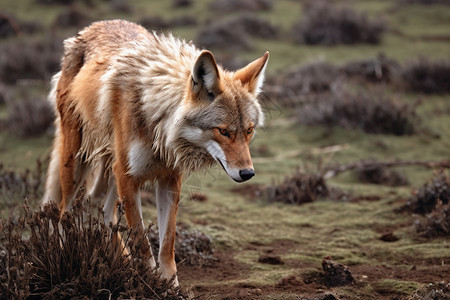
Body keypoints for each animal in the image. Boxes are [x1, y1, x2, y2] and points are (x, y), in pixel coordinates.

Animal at [41, 19, 268, 286]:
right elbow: (141, 240)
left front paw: (170, 286)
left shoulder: (169, 179)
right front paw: (150, 284)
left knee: (103, 210)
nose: (248, 173)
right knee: (64, 212)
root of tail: (92, 27)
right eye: (223, 131)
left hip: (110, 173)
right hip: (77, 164)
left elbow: (167, 245)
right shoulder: (128, 177)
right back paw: (65, 256)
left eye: (249, 130)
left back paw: (122, 262)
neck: (158, 121)